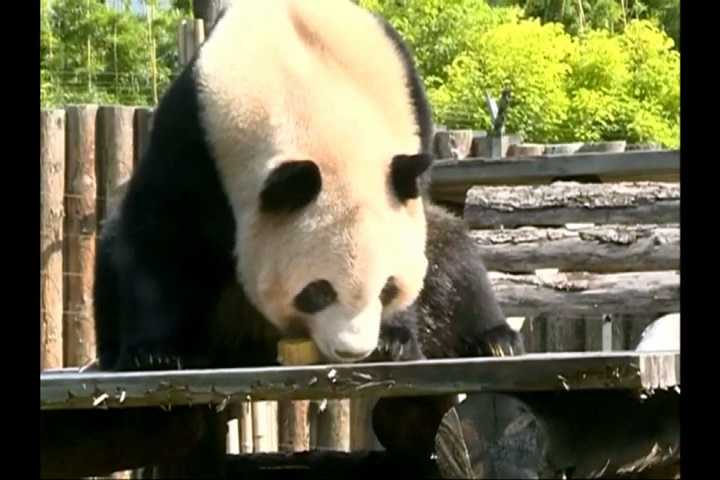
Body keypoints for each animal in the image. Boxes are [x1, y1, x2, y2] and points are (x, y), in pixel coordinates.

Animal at [94, 0, 524, 458]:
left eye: (387, 289)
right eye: (318, 291)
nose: (352, 350)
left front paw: (393, 337)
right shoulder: (196, 132)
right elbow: (160, 231)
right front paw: (154, 354)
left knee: (454, 256)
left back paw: (496, 340)